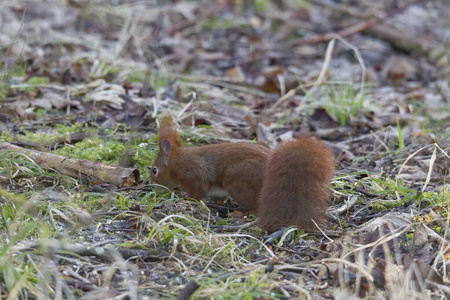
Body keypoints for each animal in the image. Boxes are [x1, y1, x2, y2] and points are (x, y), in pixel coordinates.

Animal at [150, 116, 334, 231]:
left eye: (154, 170)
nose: (152, 184)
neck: (177, 162)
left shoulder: (193, 174)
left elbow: (197, 192)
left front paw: (185, 200)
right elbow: (218, 198)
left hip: (238, 180)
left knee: (255, 208)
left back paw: (240, 213)